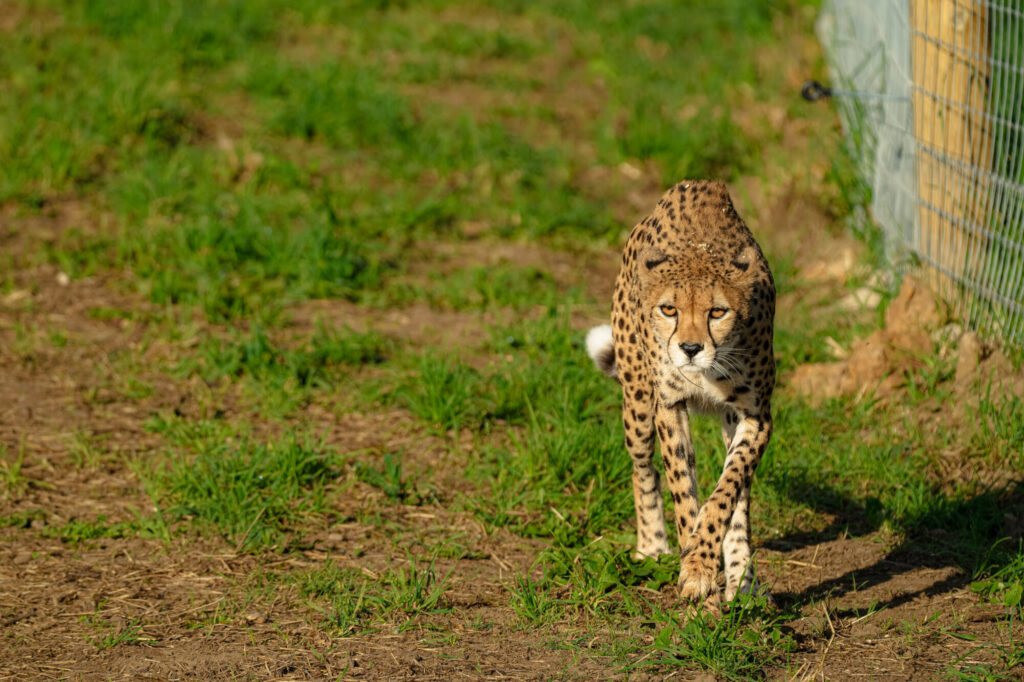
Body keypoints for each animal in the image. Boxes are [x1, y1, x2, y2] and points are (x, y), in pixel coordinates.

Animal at [586, 179, 776, 612]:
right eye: (669, 309)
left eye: (718, 312)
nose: (690, 348)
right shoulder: (668, 406)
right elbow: (682, 490)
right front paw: (698, 579)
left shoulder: (757, 415)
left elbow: (726, 491)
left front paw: (707, 567)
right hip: (638, 402)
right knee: (643, 468)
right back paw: (653, 547)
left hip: (729, 421)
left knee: (740, 496)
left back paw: (743, 581)